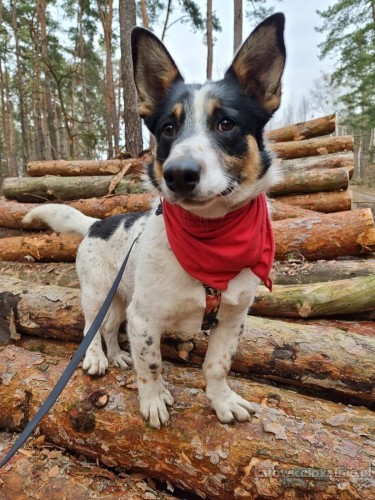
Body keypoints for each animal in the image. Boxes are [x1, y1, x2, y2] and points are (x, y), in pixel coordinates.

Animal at [25, 14, 286, 430]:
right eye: (167, 128)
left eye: (226, 124)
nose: (180, 174)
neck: (210, 236)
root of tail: (96, 223)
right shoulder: (145, 319)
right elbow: (151, 366)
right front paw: (152, 401)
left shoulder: (232, 317)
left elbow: (217, 365)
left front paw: (221, 401)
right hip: (98, 293)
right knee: (90, 328)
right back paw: (96, 358)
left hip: (120, 298)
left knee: (110, 328)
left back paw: (116, 355)